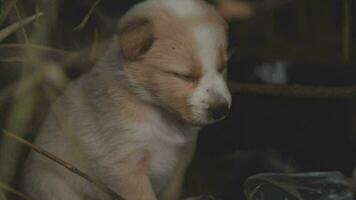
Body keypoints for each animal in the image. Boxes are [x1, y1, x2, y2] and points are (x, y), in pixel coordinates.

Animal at [23, 0, 232, 199]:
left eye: (222, 67)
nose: (221, 110)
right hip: (54, 185)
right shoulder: (124, 166)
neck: (161, 114)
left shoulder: (181, 161)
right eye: (184, 76)